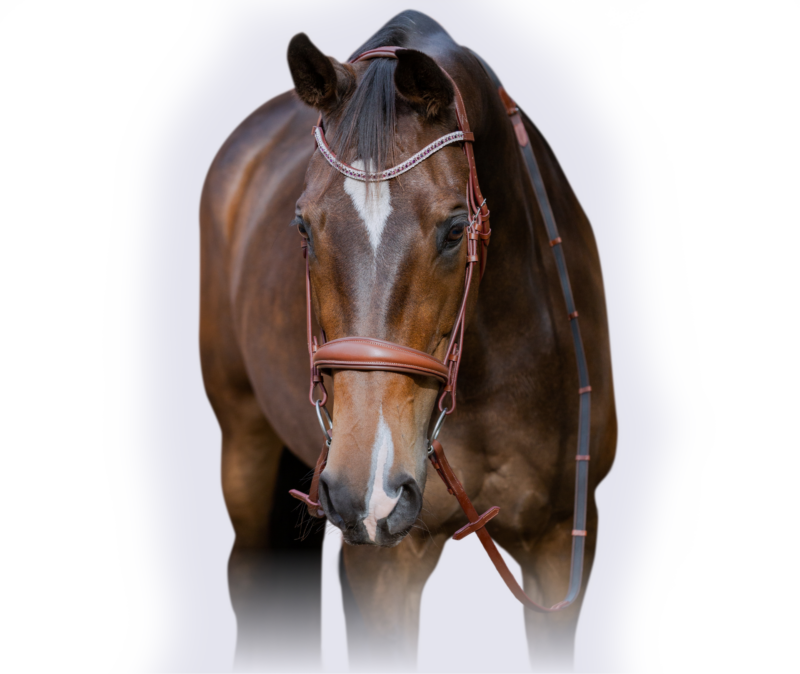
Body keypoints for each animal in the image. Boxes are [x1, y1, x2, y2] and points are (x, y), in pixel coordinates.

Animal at [199, 10, 616, 673]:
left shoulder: (562, 543)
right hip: (245, 442)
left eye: (454, 231)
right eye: (302, 226)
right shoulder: (383, 567)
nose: (364, 491)